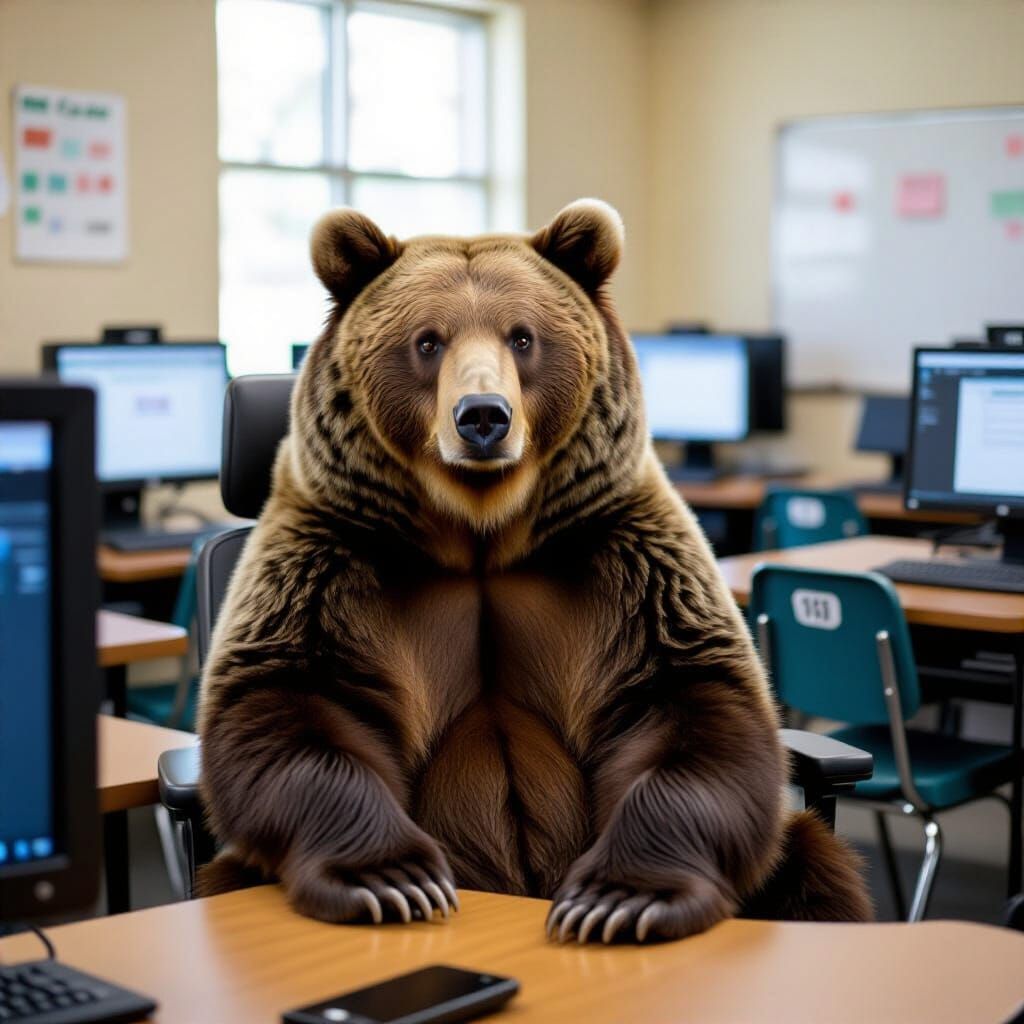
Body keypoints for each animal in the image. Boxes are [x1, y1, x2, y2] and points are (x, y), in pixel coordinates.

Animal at [197, 198, 872, 943]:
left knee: (812, 865)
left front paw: (619, 898)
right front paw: (391, 880)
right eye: (427, 342)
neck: (481, 531)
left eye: (523, 337)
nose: (483, 417)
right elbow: (289, 704)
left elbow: (694, 703)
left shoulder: (624, 557)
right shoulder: (332, 557)